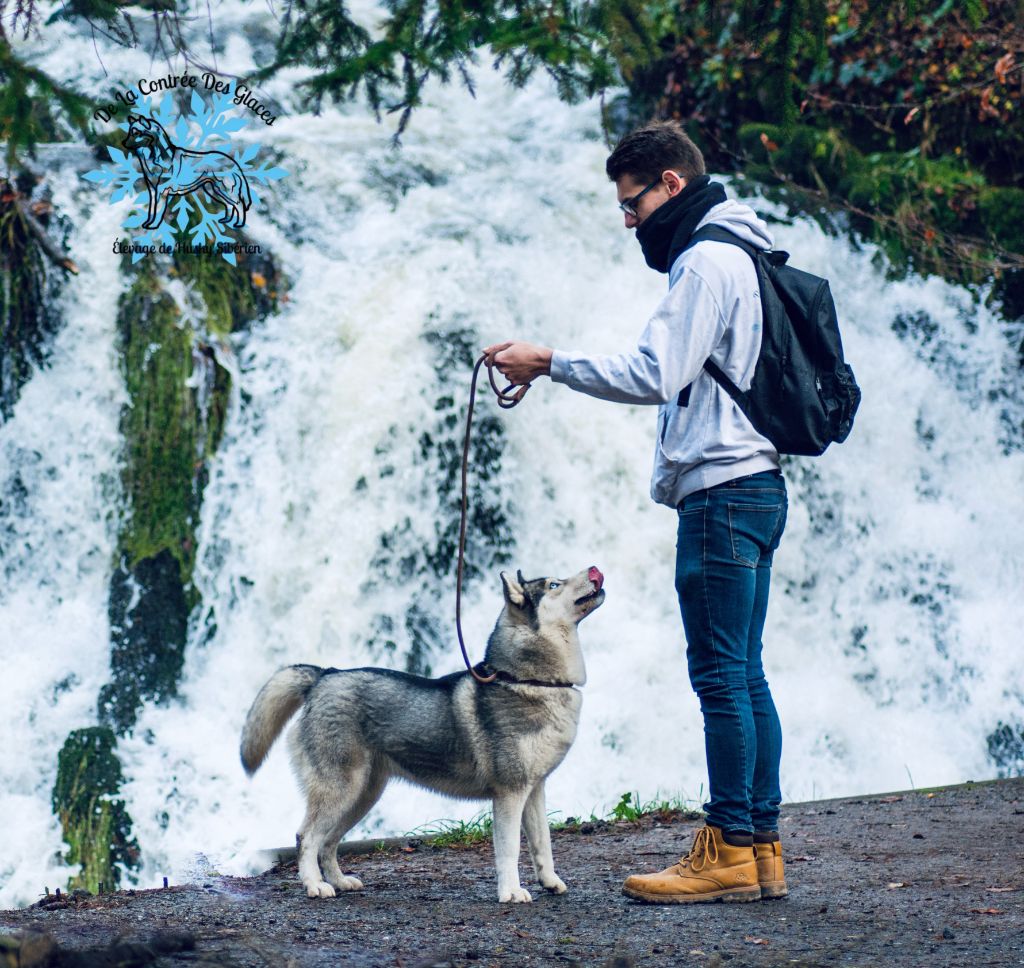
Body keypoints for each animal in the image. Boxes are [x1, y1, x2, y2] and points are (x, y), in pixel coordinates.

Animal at [122, 114, 251, 229]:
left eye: (136, 133)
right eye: (130, 131)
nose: (123, 143)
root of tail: (233, 161)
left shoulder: (162, 191)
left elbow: (158, 213)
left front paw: (153, 226)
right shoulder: (153, 190)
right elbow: (151, 212)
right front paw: (148, 224)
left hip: (225, 190)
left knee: (237, 204)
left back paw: (238, 224)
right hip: (215, 190)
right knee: (230, 205)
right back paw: (227, 221)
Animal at [242, 561, 602, 901]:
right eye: (554, 584)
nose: (595, 570)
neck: (528, 680)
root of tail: (324, 675)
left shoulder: (535, 790)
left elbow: (543, 845)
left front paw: (550, 882)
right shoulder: (510, 793)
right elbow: (510, 850)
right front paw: (511, 892)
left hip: (362, 795)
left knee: (328, 842)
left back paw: (340, 880)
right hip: (340, 790)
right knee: (306, 837)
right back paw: (315, 885)